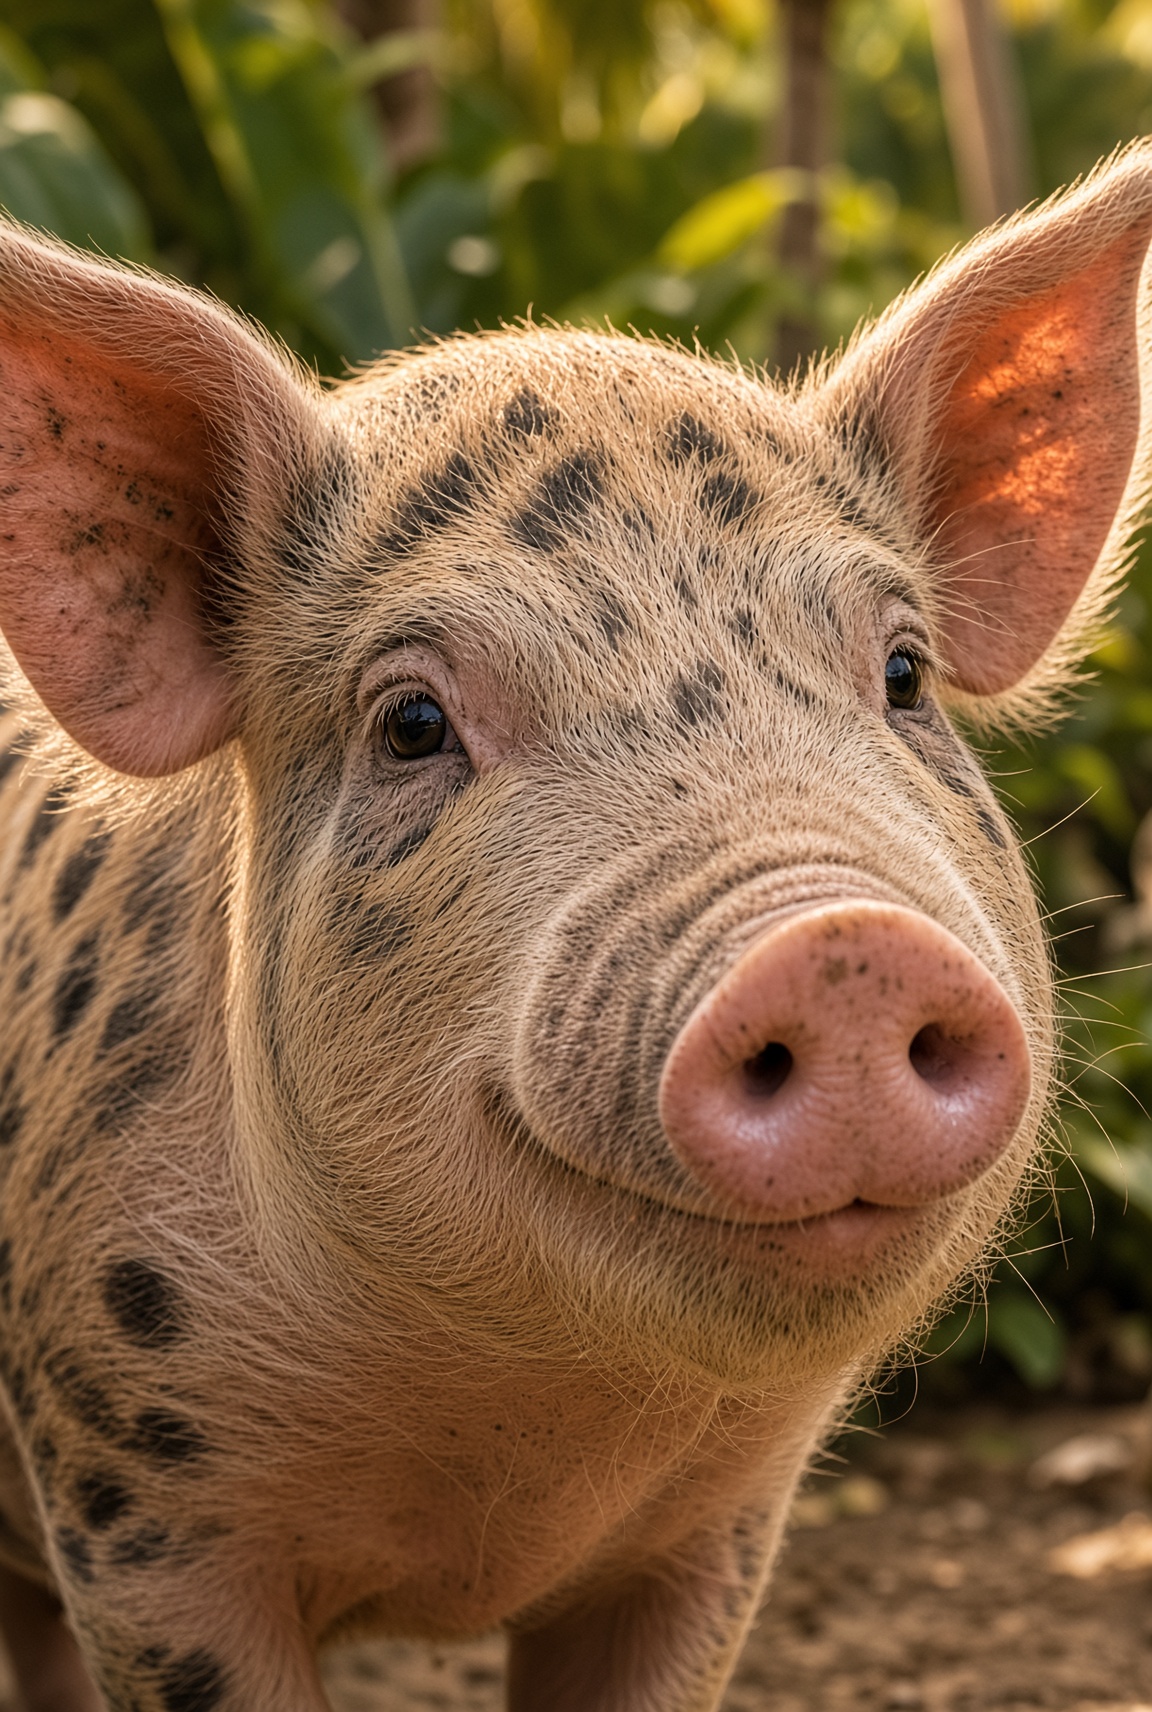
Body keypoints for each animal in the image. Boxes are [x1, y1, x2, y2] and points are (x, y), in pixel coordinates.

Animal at [0, 140, 1146, 1712]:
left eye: (906, 673)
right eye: (413, 722)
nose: (842, 947)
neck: (515, 1444)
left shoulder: (720, 1532)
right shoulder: (132, 1502)